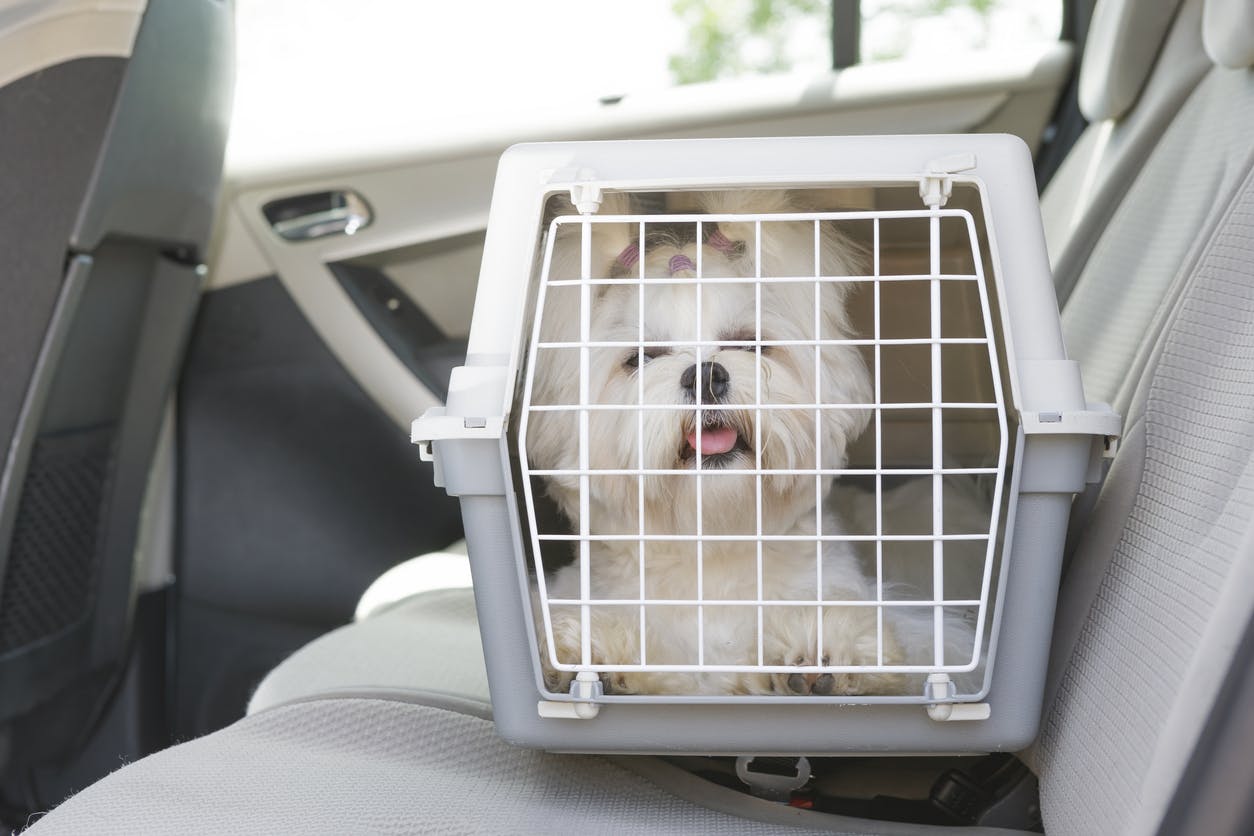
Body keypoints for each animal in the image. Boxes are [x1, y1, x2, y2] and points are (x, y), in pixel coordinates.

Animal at [524, 193, 973, 696]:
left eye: (750, 344)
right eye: (639, 359)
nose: (706, 375)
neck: (715, 545)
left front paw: (825, 648)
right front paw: (596, 652)